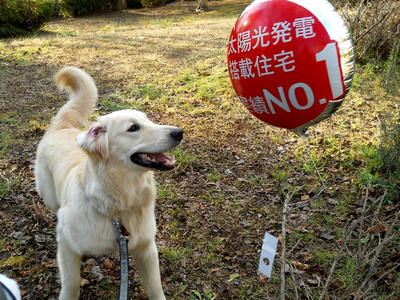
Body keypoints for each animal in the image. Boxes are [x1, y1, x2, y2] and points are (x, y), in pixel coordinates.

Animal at [35, 67, 182, 298]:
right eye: (133, 128)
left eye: (148, 120)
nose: (179, 132)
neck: (120, 206)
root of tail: (62, 126)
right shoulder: (67, 244)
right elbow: (71, 283)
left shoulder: (146, 248)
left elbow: (156, 287)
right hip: (48, 194)